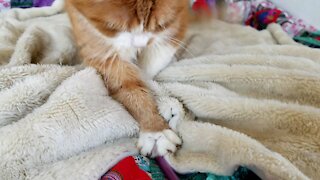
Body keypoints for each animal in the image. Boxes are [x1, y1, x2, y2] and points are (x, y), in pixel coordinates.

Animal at [65, 0, 190, 157]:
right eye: (112, 27)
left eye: (159, 25)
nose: (140, 45)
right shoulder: (98, 46)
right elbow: (130, 88)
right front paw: (155, 131)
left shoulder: (178, 19)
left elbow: (156, 57)